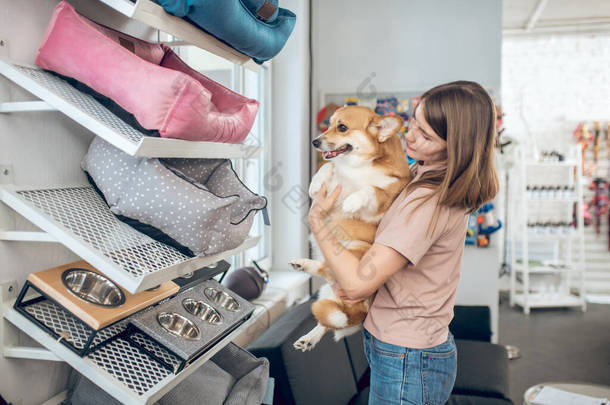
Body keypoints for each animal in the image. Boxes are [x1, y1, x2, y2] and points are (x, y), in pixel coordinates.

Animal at [288, 105, 410, 348]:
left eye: (342, 127)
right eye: (329, 124)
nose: (315, 142)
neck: (358, 165)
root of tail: (361, 310)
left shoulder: (384, 196)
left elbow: (370, 189)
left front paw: (351, 202)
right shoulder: (334, 173)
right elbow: (328, 167)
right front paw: (315, 185)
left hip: (356, 253)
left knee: (327, 271)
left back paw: (304, 265)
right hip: (330, 290)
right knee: (329, 317)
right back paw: (309, 338)